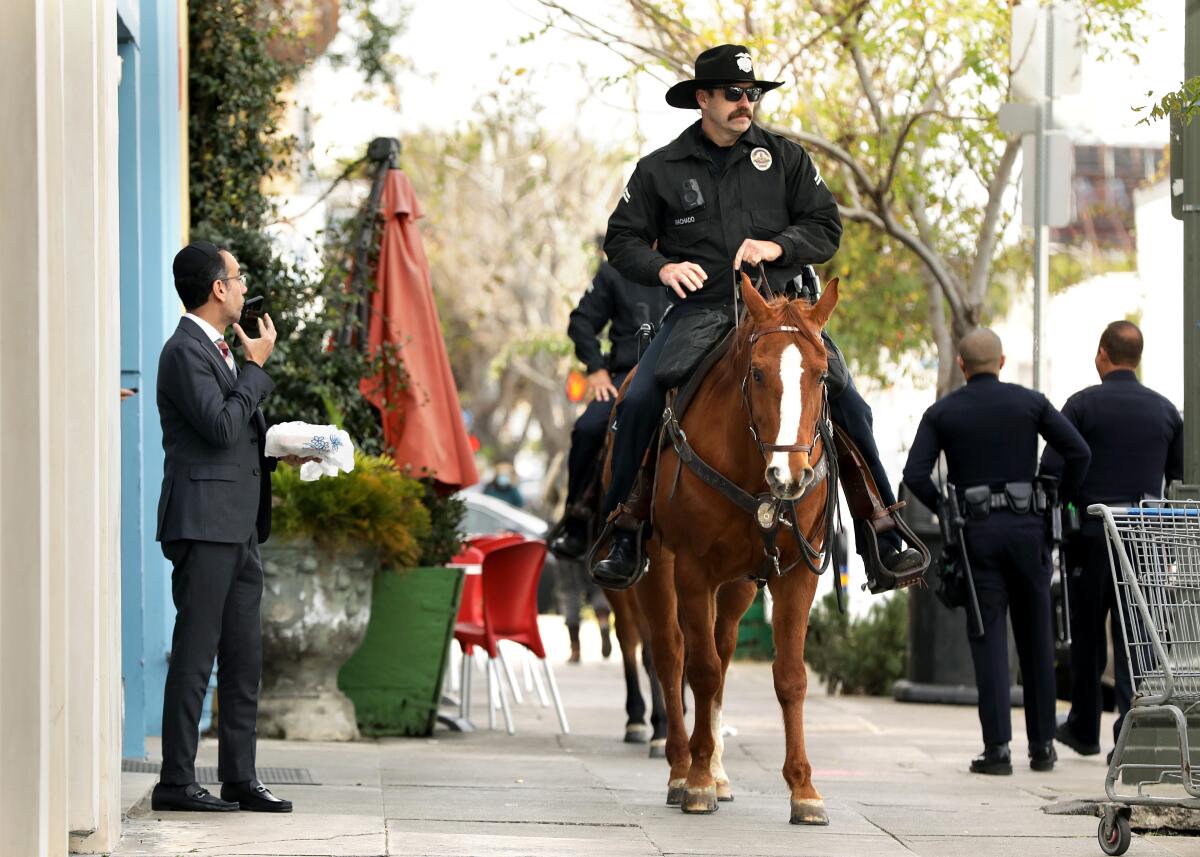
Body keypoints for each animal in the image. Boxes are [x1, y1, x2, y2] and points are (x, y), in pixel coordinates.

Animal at [633, 273, 840, 820]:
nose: (791, 475)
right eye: (759, 373)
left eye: (821, 376)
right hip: (659, 571)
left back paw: (720, 768)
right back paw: (683, 765)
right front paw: (697, 780)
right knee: (672, 654)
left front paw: (803, 788)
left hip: (741, 585)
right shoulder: (691, 569)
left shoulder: (797, 573)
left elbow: (790, 676)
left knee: (723, 648)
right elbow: (700, 671)